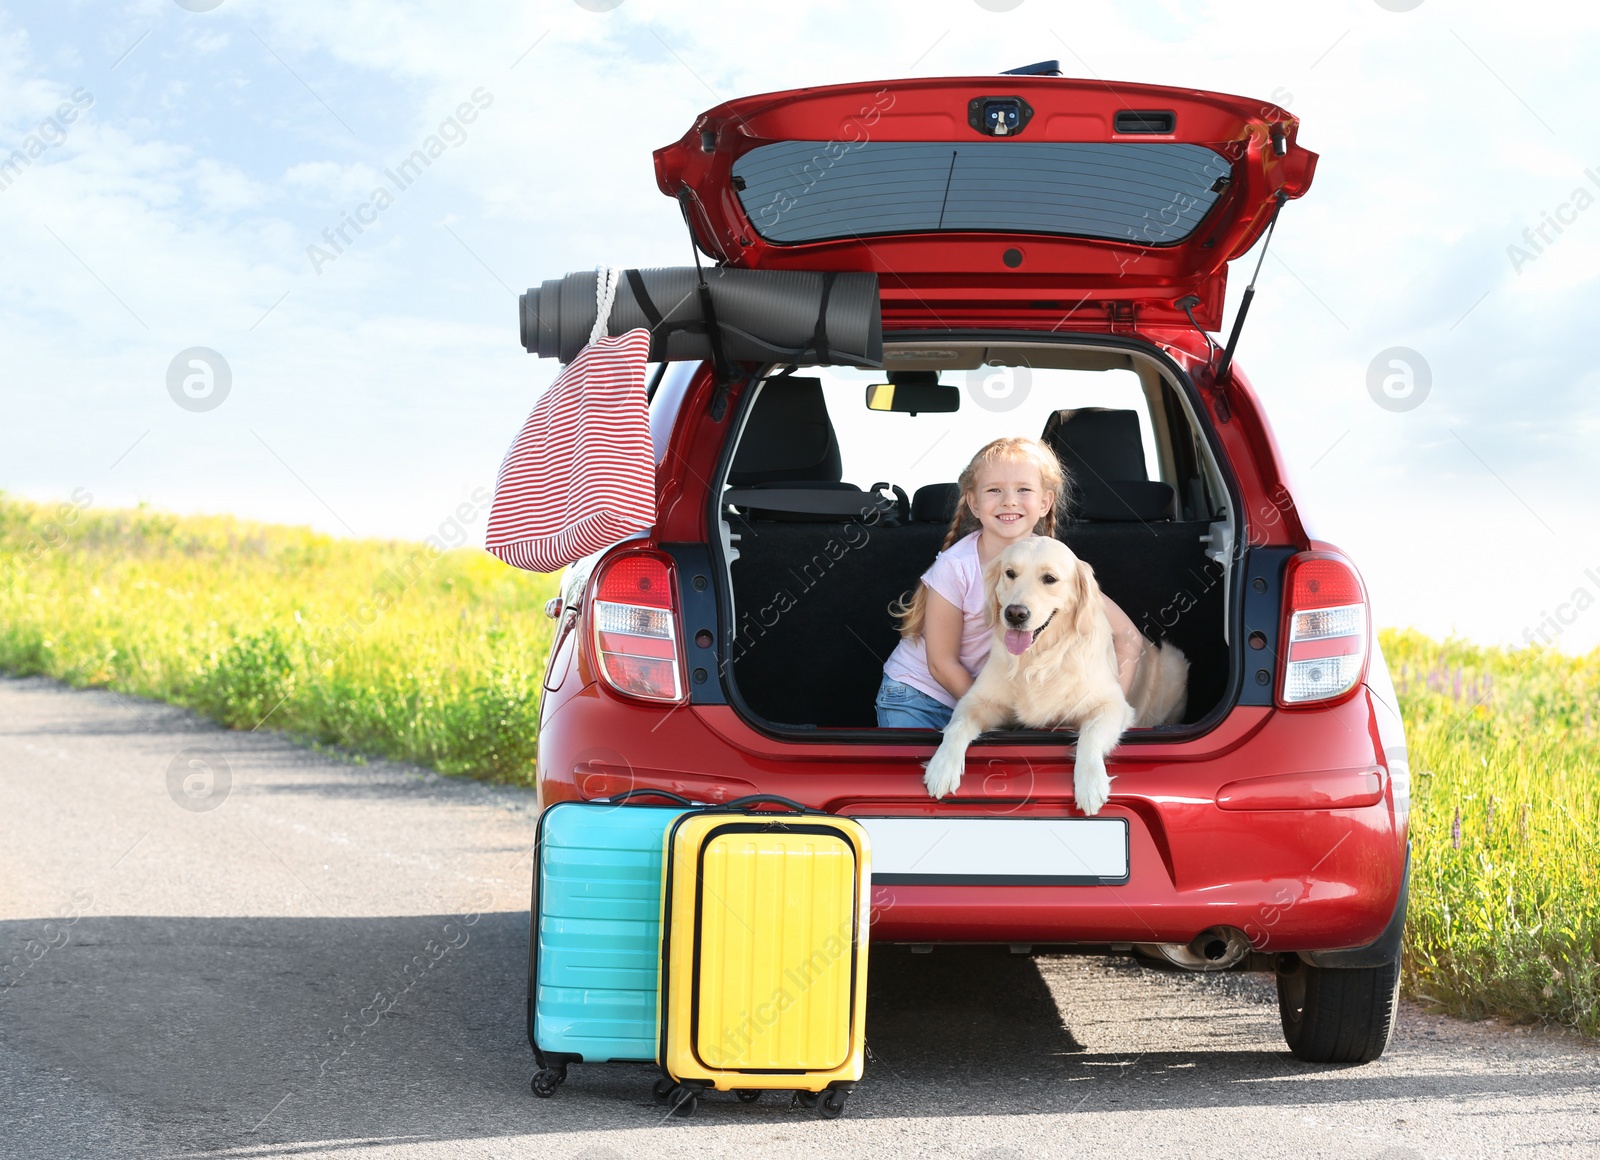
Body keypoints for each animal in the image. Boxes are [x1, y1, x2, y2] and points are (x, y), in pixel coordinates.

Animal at [928, 537, 1190, 816]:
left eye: (1049, 579)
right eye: (1010, 573)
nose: (1015, 614)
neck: (1037, 660)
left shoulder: (1113, 705)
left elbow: (1091, 735)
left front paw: (1091, 783)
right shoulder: (977, 700)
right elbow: (957, 725)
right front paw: (941, 766)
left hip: (1174, 662)